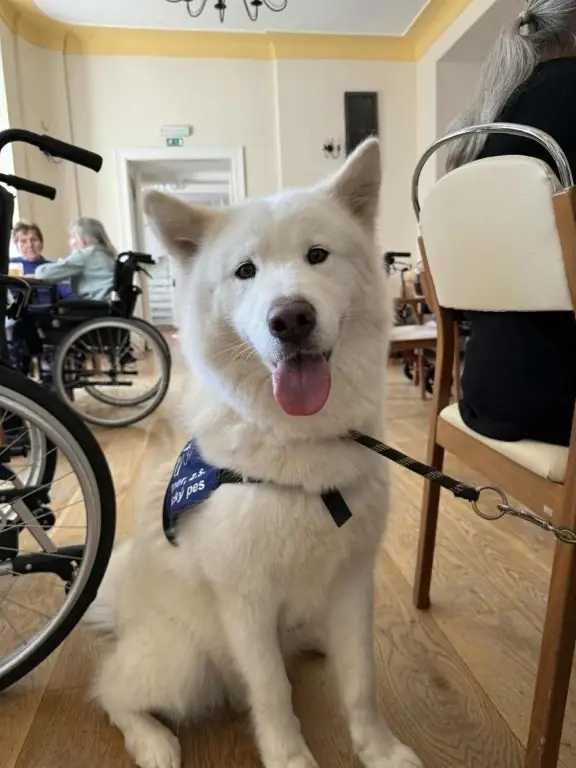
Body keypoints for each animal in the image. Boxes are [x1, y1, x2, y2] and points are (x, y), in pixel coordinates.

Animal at [86, 138, 424, 768]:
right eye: (246, 271)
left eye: (318, 255)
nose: (290, 318)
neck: (297, 443)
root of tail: (122, 615)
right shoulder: (246, 601)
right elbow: (271, 691)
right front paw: (291, 758)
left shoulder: (352, 581)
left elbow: (361, 680)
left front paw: (379, 750)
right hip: (183, 663)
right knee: (112, 692)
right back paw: (152, 741)